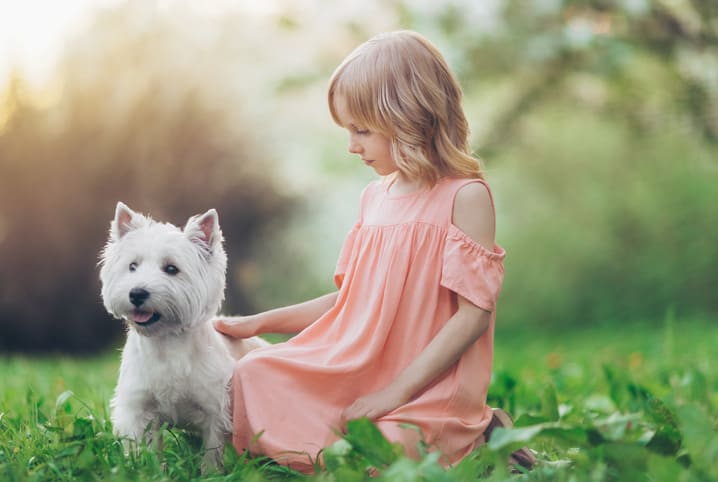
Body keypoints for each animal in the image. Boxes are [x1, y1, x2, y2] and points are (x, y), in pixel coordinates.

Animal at [101, 202, 268, 470]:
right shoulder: (138, 407)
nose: (136, 293)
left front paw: (210, 472)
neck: (165, 343)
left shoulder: (215, 409)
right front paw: (145, 470)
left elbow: (212, 450)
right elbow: (142, 449)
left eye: (171, 269)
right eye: (132, 266)